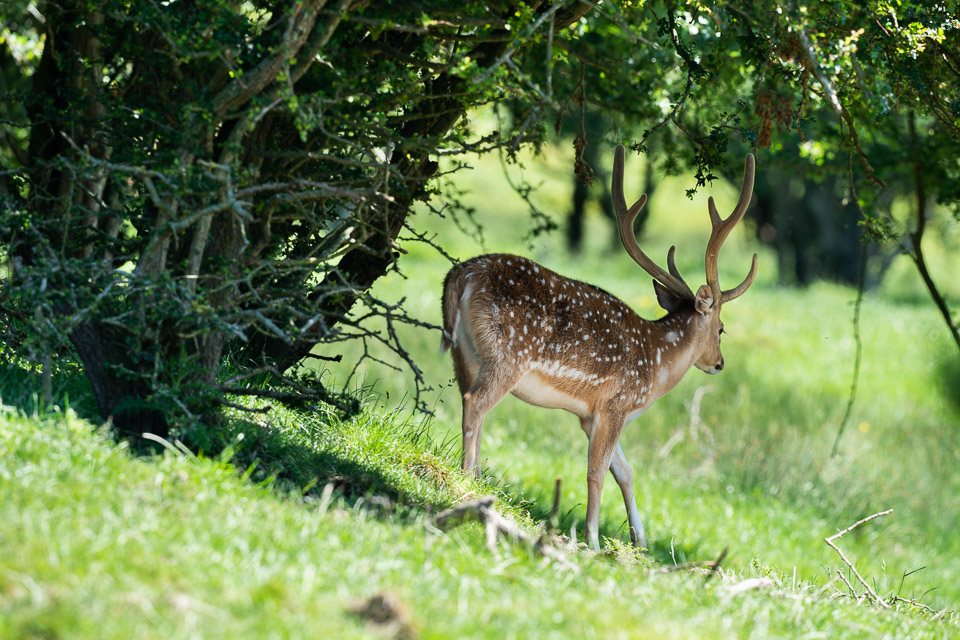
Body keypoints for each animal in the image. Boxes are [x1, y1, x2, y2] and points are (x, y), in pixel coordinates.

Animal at [440, 145, 756, 552]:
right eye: (721, 328)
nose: (719, 363)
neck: (655, 368)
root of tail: (459, 275)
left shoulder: (589, 414)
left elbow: (625, 471)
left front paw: (640, 541)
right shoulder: (616, 403)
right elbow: (597, 471)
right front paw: (592, 540)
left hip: (462, 352)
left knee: (468, 400)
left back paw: (479, 480)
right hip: (507, 355)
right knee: (475, 403)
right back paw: (467, 481)